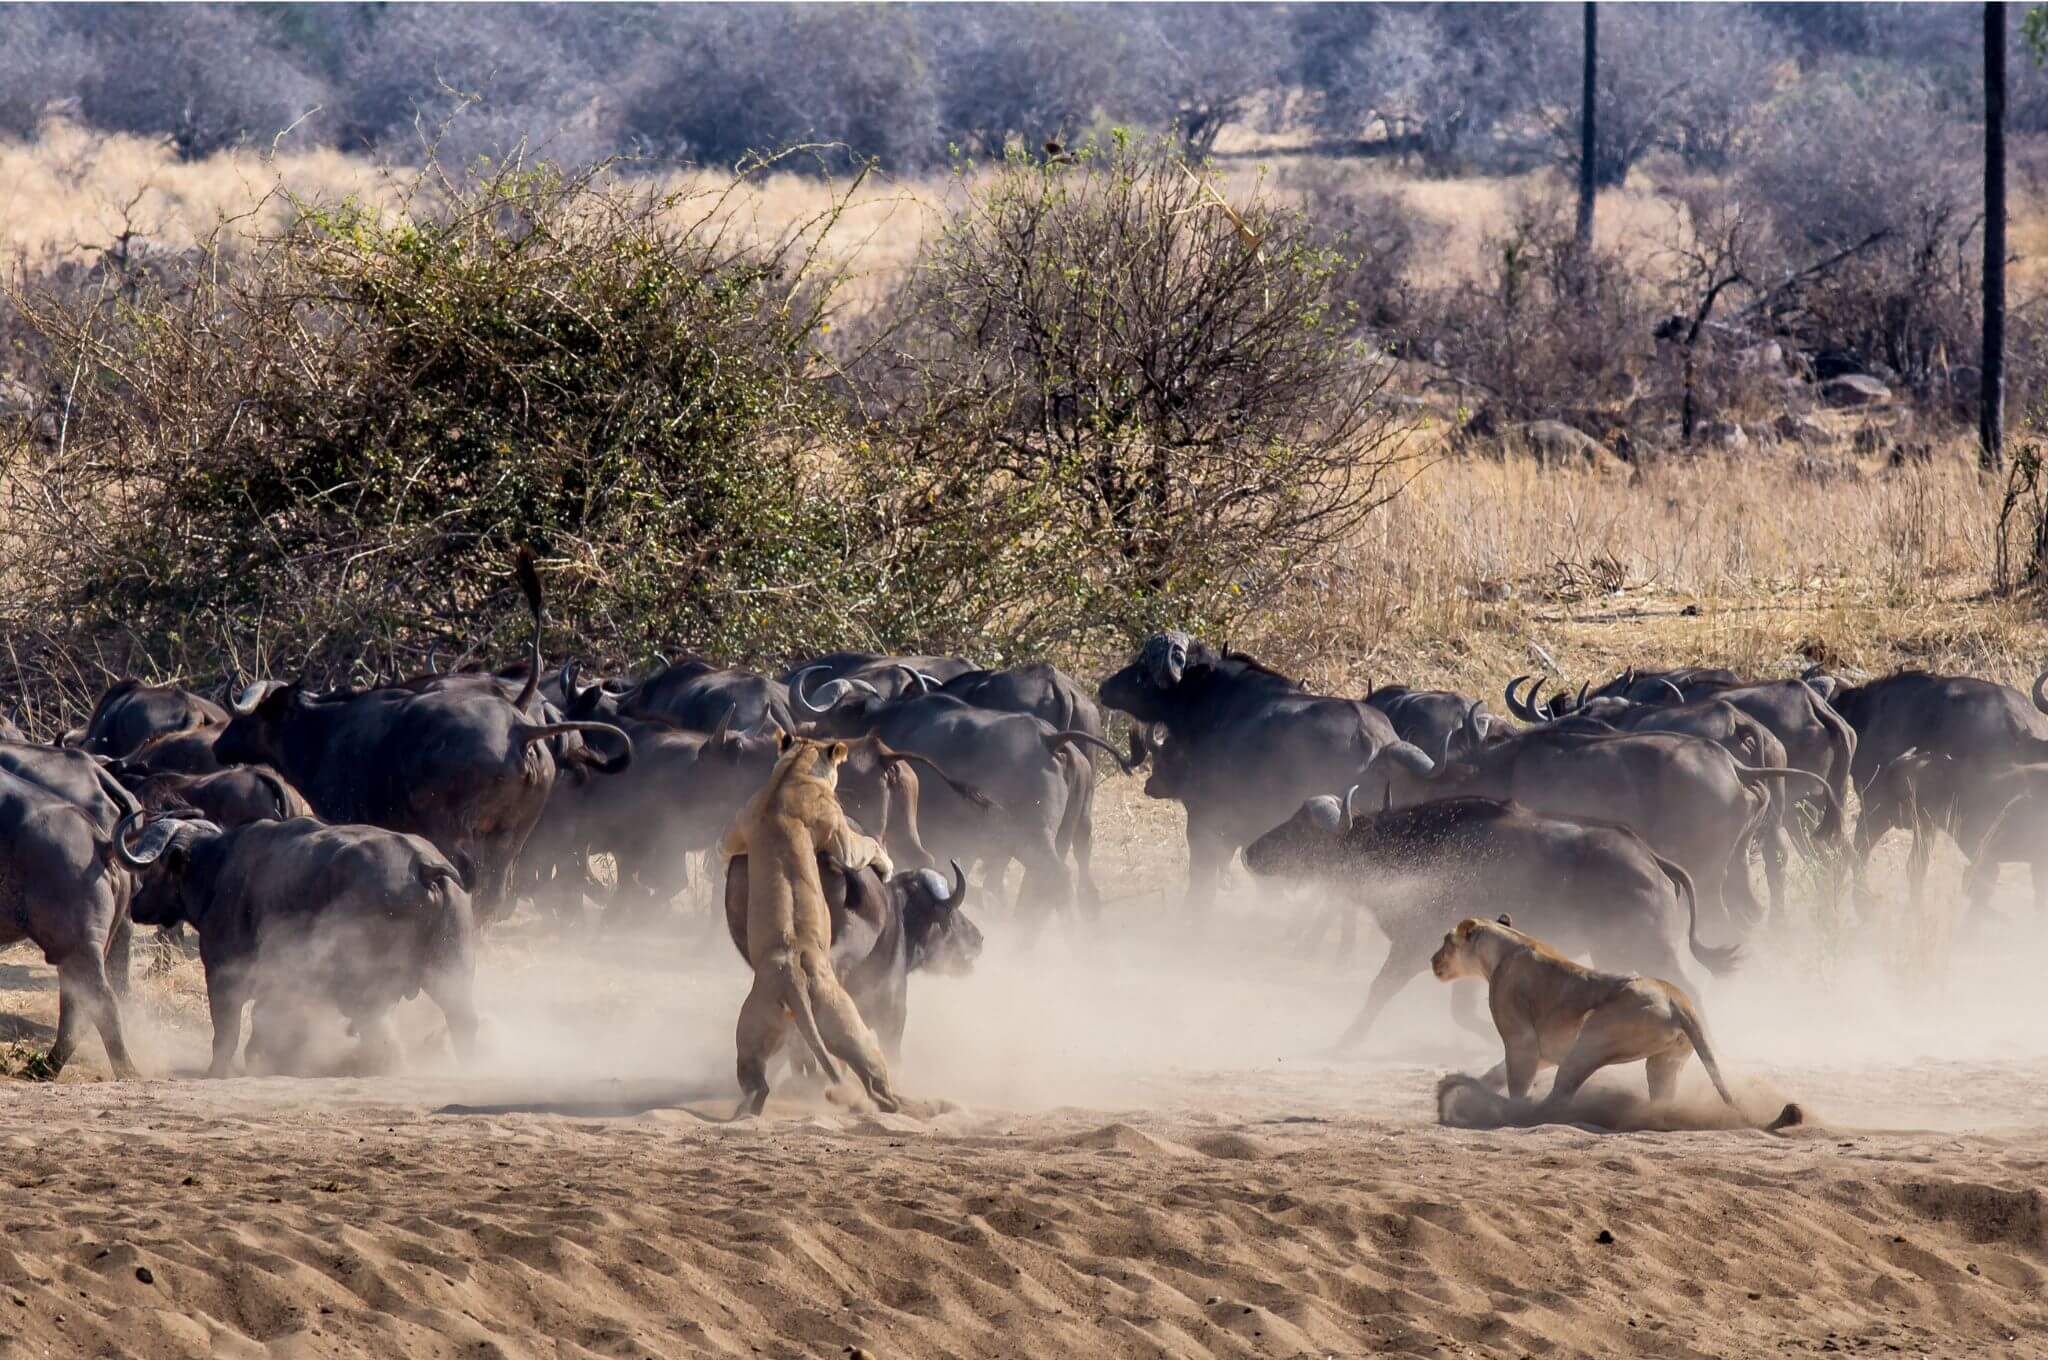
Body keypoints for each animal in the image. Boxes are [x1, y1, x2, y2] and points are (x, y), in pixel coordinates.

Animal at [114, 811, 477, 1081]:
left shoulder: (223, 976)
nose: (136, 904)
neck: (218, 871)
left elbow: (227, 1030)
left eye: (156, 868)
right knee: (463, 1020)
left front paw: (218, 1070)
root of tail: (421, 865)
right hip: (452, 971)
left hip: (367, 987)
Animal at [1105, 630, 1441, 909]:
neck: (1212, 709)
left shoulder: (1208, 824)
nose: (1105, 686)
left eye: (1145, 666)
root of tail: (1380, 744)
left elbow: (1203, 883)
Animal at [1236, 790, 1736, 1044]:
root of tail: (1650, 856)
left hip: (1644, 942)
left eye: (1302, 829)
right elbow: (1463, 1014)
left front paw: (1343, 1040)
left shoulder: (1412, 946)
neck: (1405, 851)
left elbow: (1378, 991)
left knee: (1688, 990)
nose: (1251, 852)